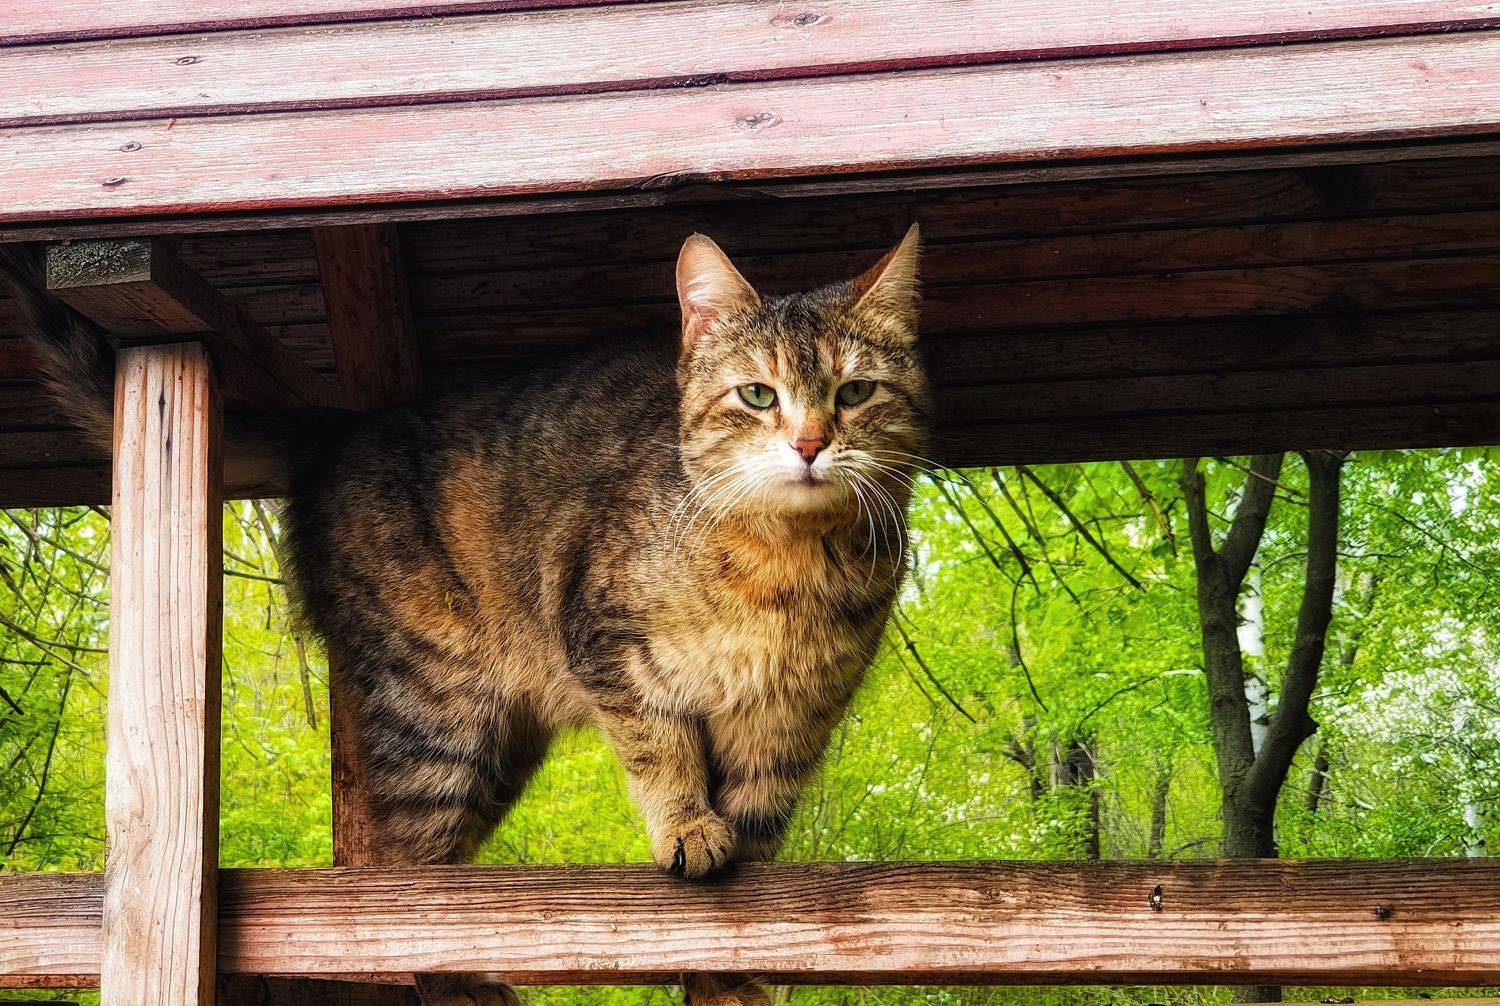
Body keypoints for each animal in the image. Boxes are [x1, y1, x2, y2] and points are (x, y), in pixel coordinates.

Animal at [0, 225, 929, 1006]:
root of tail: (341, 430)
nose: (809, 444)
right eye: (757, 395)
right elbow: (659, 747)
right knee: (413, 892)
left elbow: (759, 837)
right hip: (437, 714)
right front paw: (686, 824)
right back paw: (461, 981)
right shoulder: (605, 643)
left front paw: (728, 980)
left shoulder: (790, 723)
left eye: (855, 391)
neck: (787, 565)